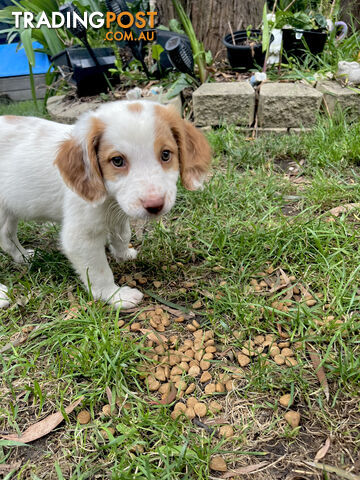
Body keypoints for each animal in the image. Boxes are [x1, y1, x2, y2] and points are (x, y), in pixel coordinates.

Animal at [0, 101, 212, 310]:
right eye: (117, 160)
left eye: (166, 154)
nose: (155, 205)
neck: (109, 199)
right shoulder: (80, 237)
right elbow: (99, 271)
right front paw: (115, 296)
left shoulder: (119, 212)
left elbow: (123, 234)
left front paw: (123, 254)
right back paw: (2, 294)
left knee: (6, 236)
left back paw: (23, 257)